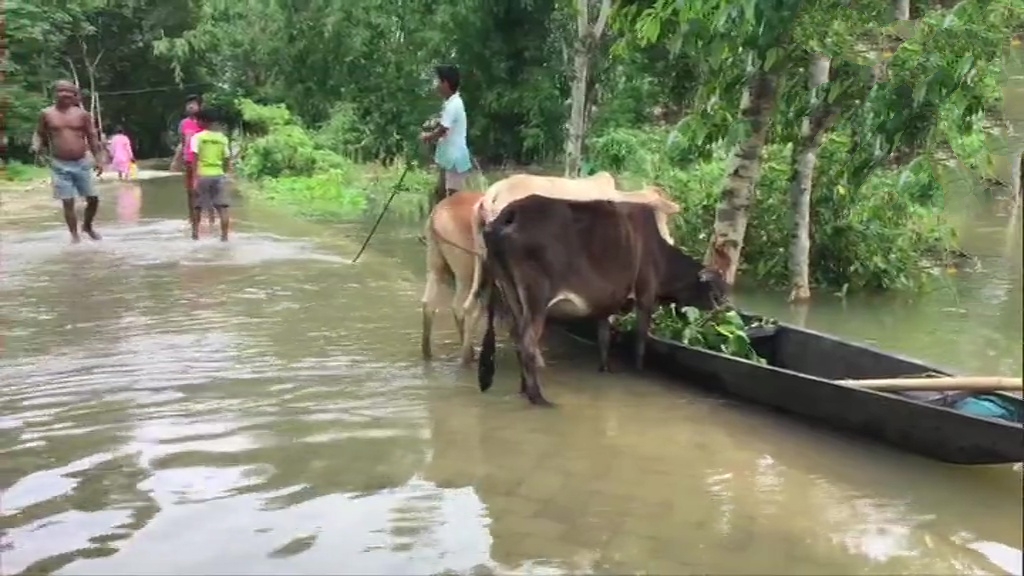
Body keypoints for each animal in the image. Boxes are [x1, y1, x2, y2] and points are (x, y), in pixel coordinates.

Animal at [475, 194, 733, 405]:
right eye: (717, 290)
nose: (725, 307)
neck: (662, 256)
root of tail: (509, 214)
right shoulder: (645, 295)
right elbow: (641, 339)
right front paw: (639, 370)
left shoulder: (605, 303)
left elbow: (604, 339)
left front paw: (605, 369)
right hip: (537, 295)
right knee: (527, 341)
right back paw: (539, 398)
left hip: (511, 293)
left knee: (517, 337)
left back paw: (524, 389)